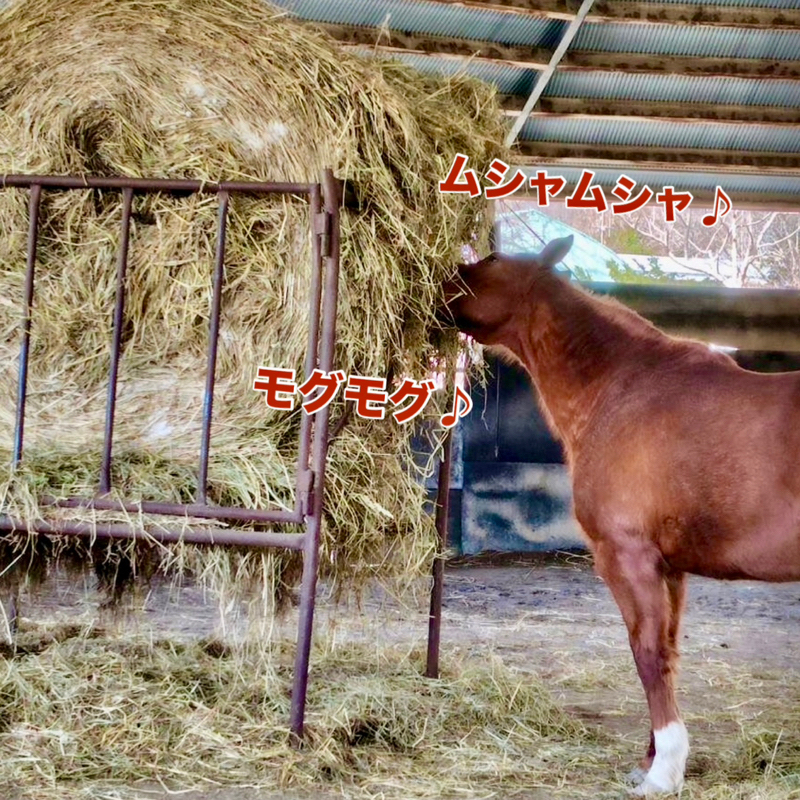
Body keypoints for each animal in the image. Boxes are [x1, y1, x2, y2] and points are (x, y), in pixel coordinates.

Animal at [441, 235, 800, 796]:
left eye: (492, 260)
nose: (433, 287)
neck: (621, 387)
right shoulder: (670, 569)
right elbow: (667, 654)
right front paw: (651, 760)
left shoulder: (628, 557)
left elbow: (647, 656)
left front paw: (664, 772)